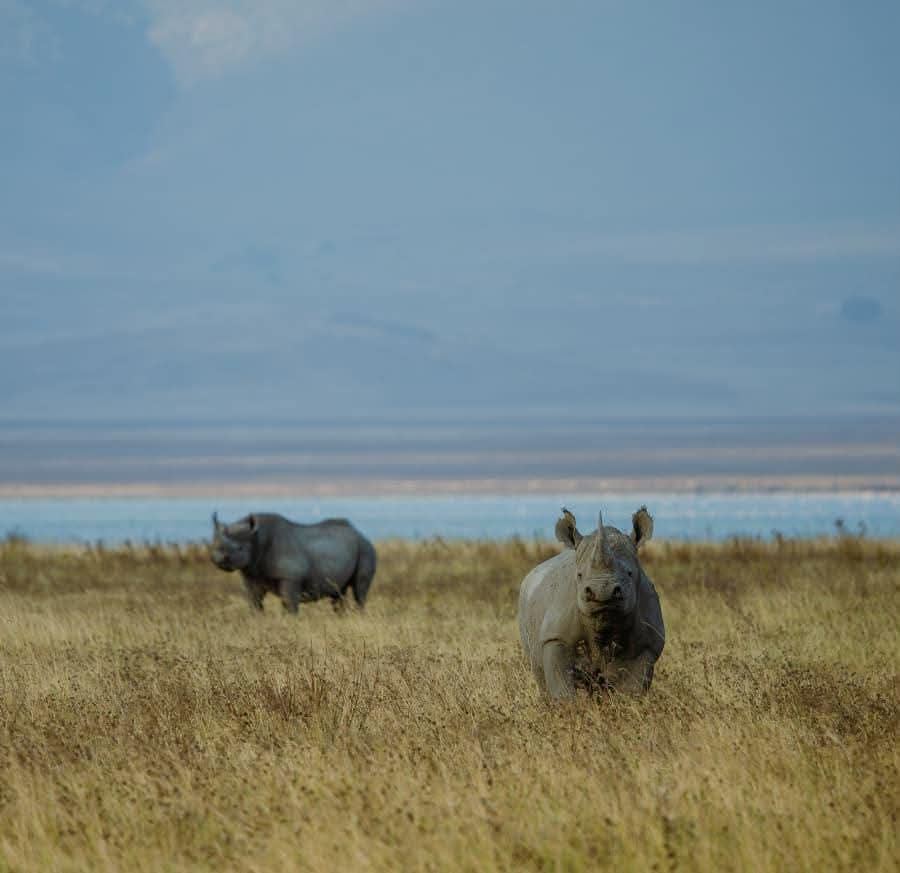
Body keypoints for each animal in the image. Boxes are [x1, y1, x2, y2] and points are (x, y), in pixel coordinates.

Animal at [209, 512, 376, 613]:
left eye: (240, 548)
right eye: (215, 544)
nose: (219, 559)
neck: (257, 539)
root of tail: (360, 533)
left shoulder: (291, 578)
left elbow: (289, 602)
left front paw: (290, 622)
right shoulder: (252, 574)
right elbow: (254, 602)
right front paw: (256, 620)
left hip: (366, 549)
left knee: (359, 590)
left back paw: (359, 614)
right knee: (339, 593)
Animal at [518, 506, 665, 699]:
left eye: (630, 573)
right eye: (579, 575)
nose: (603, 591)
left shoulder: (647, 645)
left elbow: (632, 692)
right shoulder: (554, 637)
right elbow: (562, 691)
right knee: (539, 674)